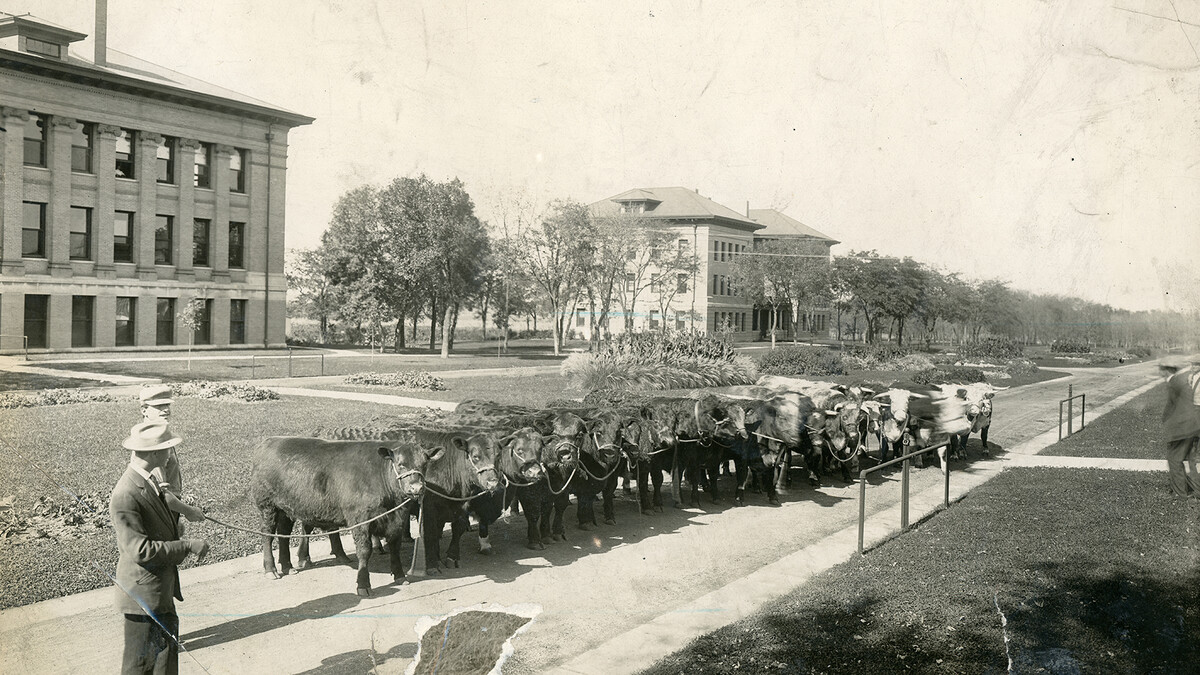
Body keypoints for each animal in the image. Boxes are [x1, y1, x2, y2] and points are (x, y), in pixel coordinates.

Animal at [250, 437, 439, 593]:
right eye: (400, 464)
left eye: (424, 464)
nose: (416, 488)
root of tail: (269, 441)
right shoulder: (360, 519)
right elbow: (364, 550)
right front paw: (363, 584)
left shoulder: (397, 521)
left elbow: (394, 546)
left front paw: (400, 575)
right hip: (267, 506)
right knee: (267, 535)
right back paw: (271, 569)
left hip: (286, 508)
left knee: (284, 534)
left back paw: (287, 566)